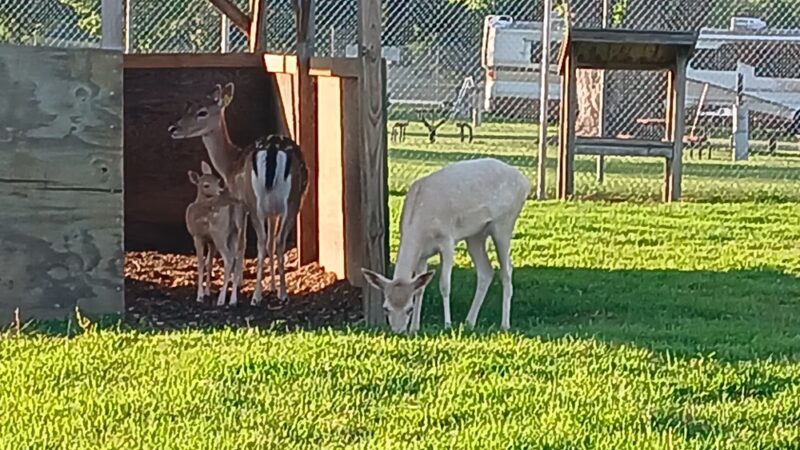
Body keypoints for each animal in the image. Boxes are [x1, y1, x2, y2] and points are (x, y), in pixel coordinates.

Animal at [185, 161, 246, 306]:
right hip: (236, 232)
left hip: (220, 233)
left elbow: (201, 263)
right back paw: (233, 299)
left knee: (229, 258)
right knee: (238, 258)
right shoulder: (210, 240)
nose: (220, 190)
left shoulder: (197, 235)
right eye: (207, 184)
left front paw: (200, 295)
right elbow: (209, 263)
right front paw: (207, 292)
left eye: (218, 181)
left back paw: (221, 299)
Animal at [361, 158, 530, 334]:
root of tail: (526, 183)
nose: (398, 331)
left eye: (409, 308)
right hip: (475, 235)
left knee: (507, 270)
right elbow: (420, 288)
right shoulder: (422, 255)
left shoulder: (447, 240)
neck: (422, 228)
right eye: (386, 308)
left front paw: (447, 324)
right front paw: (415, 328)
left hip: (504, 223)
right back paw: (469, 322)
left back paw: (504, 325)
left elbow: (444, 284)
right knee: (486, 271)